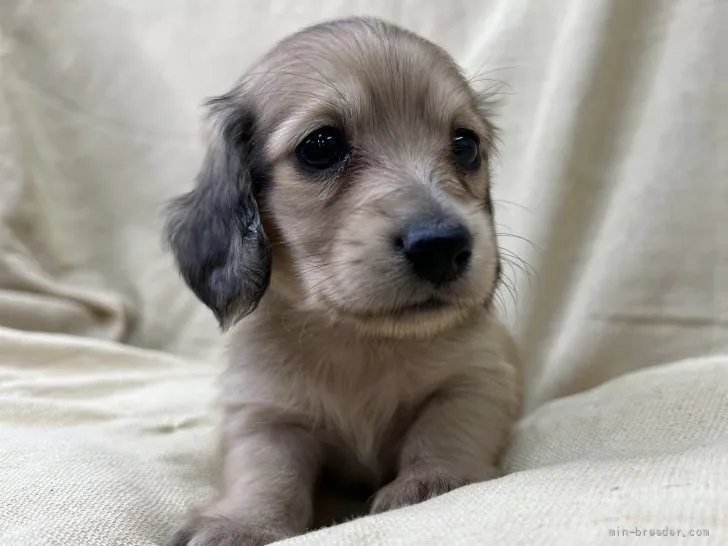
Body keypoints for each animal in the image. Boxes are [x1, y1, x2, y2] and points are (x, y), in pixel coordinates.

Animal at [163, 15, 520, 544]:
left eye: (466, 145)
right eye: (321, 146)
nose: (442, 246)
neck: (359, 342)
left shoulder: (476, 378)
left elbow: (445, 428)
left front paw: (432, 480)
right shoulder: (264, 414)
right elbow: (266, 472)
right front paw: (242, 523)